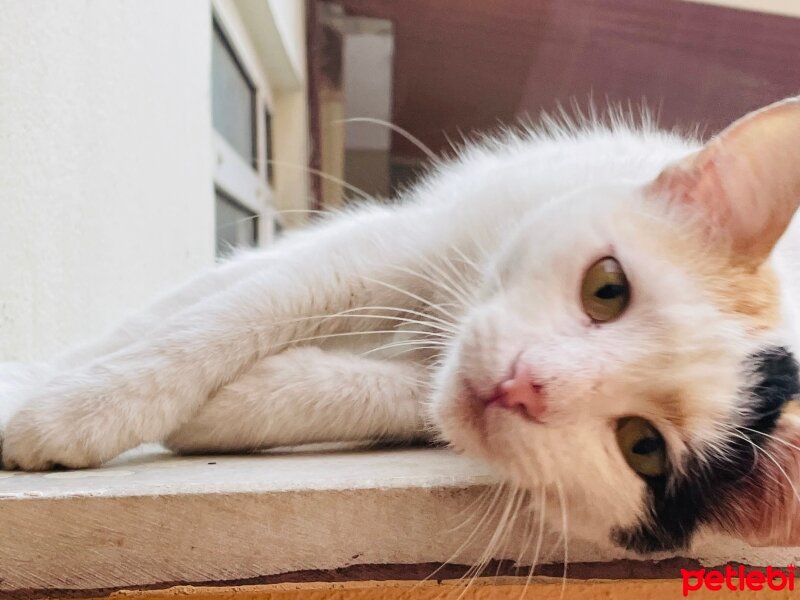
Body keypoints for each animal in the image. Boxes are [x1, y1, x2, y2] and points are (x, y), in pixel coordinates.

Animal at [1, 97, 800, 552]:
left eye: (644, 449)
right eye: (608, 287)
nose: (524, 384)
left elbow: (404, 397)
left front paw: (233, 408)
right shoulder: (395, 245)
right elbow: (215, 314)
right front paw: (69, 406)